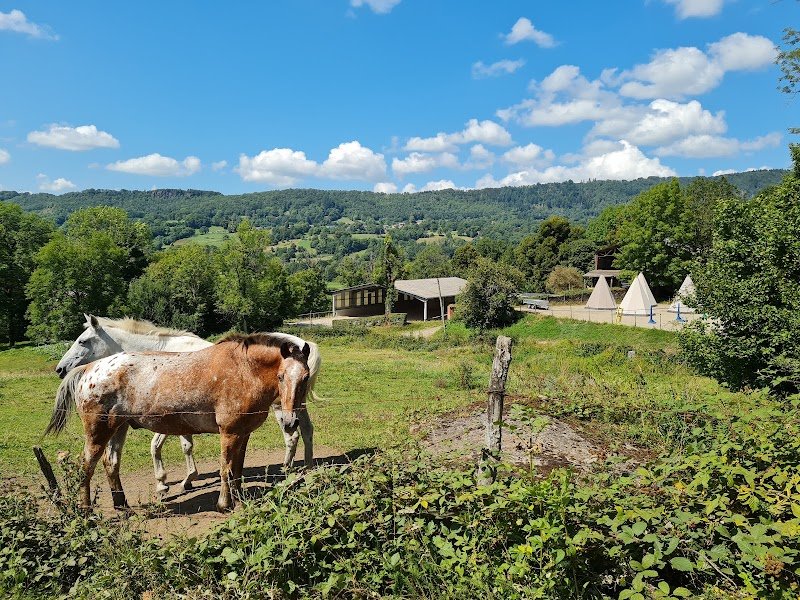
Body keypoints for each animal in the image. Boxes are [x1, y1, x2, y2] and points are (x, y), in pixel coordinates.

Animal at [55, 314, 320, 493]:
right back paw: (305, 467)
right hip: (296, 405)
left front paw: (175, 481)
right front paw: (171, 480)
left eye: (83, 341)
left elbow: (172, 445)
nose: (60, 369)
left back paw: (289, 468)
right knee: (306, 430)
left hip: (282, 407)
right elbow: (170, 444)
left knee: (292, 435)